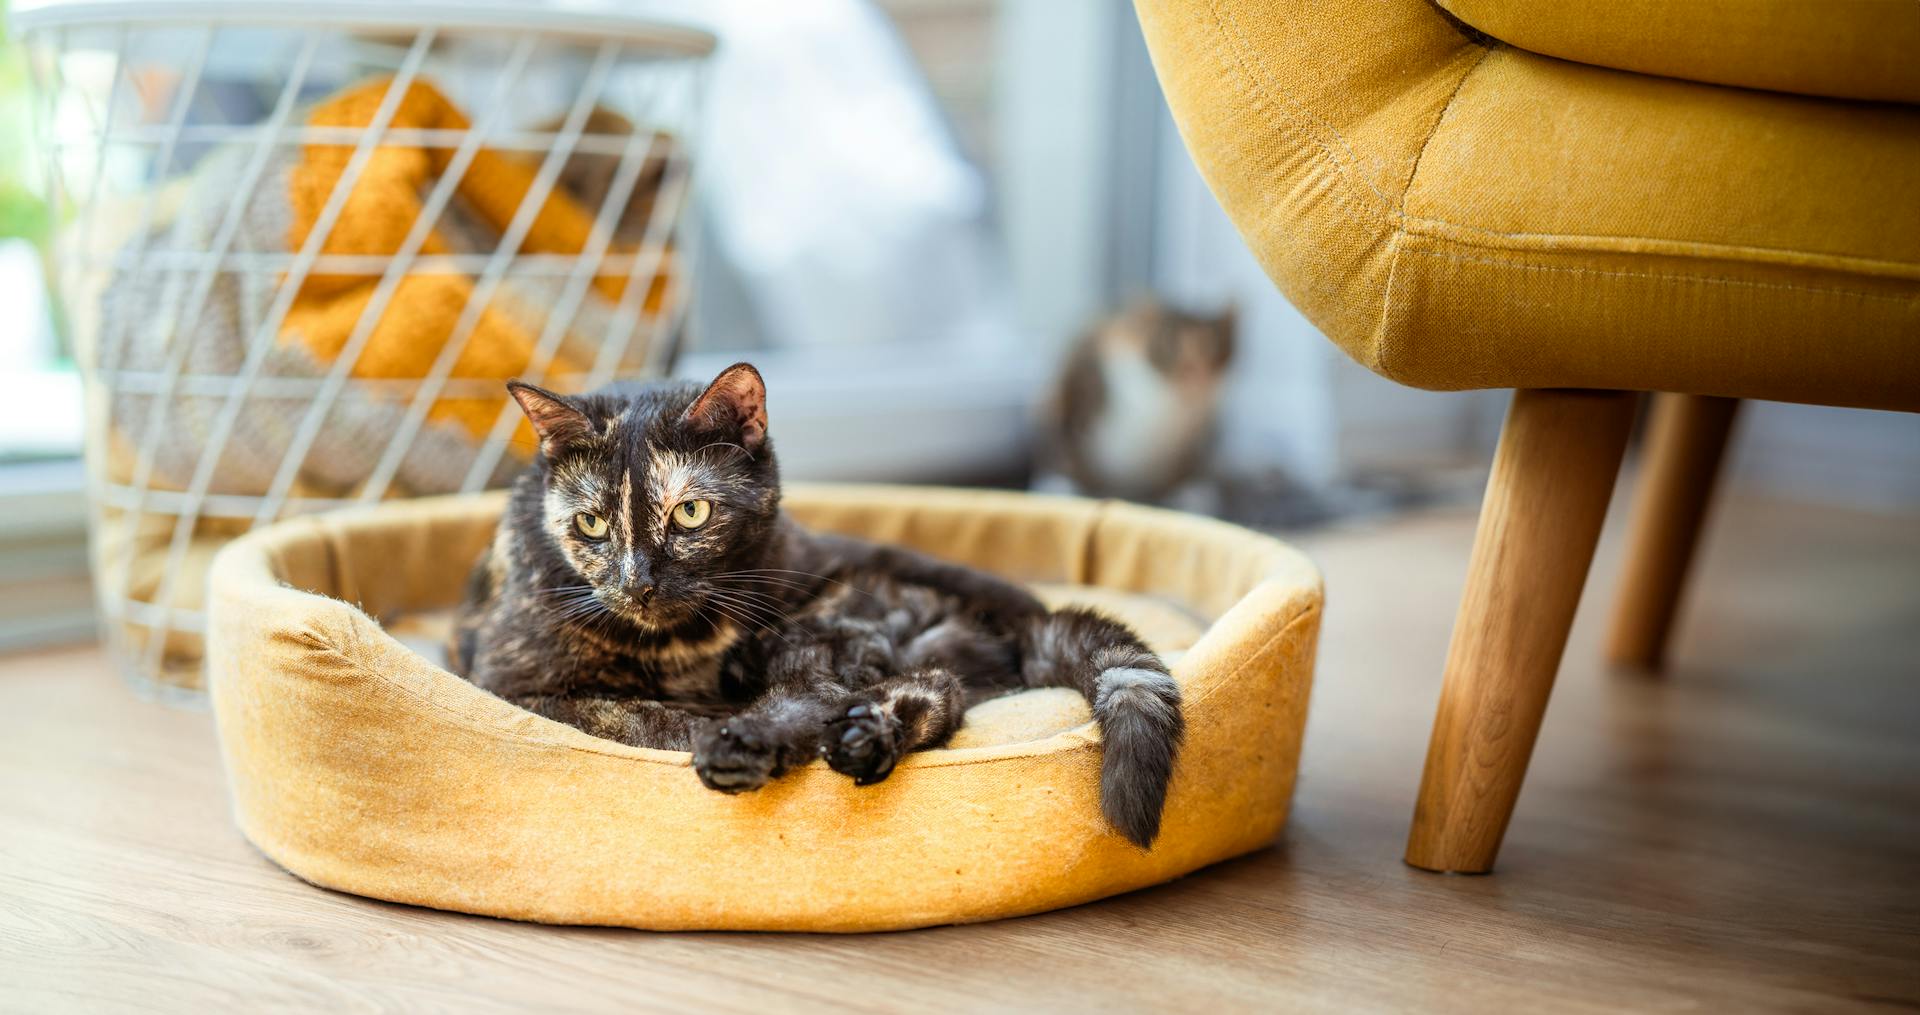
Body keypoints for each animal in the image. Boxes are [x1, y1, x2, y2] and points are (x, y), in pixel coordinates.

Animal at [453, 364, 1182, 848]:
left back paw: (808, 739)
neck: (684, 644)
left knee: (853, 689)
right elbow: (623, 713)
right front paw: (693, 725)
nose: (638, 584)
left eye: (690, 513)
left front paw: (726, 732)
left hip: (823, 615)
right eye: (591, 524)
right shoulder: (512, 686)